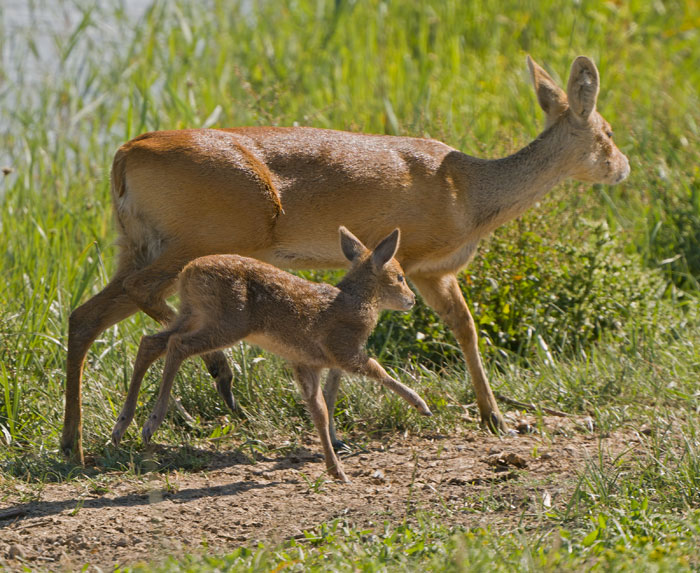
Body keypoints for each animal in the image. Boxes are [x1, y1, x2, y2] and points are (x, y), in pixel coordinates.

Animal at [110, 227, 431, 482]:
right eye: (400, 277)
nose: (412, 300)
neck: (357, 302)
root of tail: (189, 271)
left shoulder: (306, 364)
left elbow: (319, 412)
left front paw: (335, 469)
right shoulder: (345, 351)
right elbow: (378, 370)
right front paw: (422, 406)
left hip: (193, 315)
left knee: (151, 343)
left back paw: (121, 427)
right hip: (227, 323)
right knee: (178, 346)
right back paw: (151, 423)